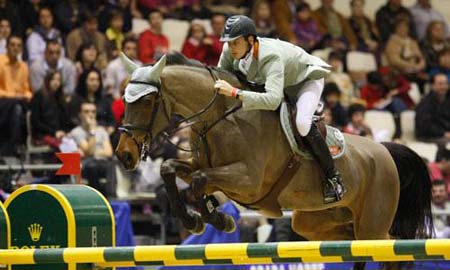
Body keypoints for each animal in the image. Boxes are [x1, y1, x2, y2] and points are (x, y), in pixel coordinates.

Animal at [114, 53, 434, 268]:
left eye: (146, 101)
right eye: (124, 99)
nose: (124, 155)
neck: (221, 117)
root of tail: (384, 151)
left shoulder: (248, 181)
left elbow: (199, 180)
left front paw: (216, 218)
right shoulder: (205, 167)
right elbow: (172, 169)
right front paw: (196, 219)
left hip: (372, 223)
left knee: (390, 247)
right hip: (315, 223)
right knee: (356, 242)